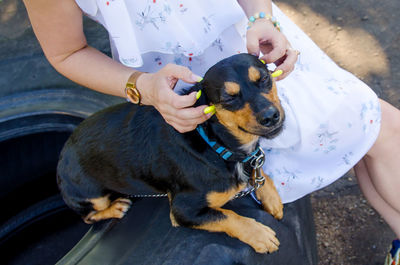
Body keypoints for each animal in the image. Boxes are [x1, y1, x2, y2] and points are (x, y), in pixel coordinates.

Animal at [57, 52, 286, 253]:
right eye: (229, 99)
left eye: (264, 78)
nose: (270, 116)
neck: (214, 143)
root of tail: (61, 157)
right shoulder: (183, 210)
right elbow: (228, 216)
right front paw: (259, 234)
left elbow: (260, 175)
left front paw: (271, 197)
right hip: (93, 196)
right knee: (88, 215)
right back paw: (116, 207)